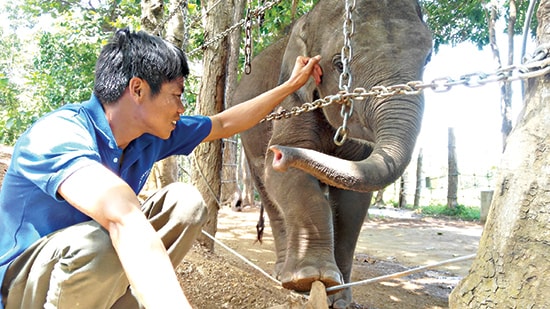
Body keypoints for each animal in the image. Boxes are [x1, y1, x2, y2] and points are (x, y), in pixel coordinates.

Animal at [231, 1, 434, 306]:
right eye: (340, 65)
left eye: (428, 58)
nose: (278, 154)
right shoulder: (290, 101)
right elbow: (290, 178)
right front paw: (310, 277)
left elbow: (353, 199)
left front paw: (338, 297)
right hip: (248, 140)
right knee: (267, 193)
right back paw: (283, 276)